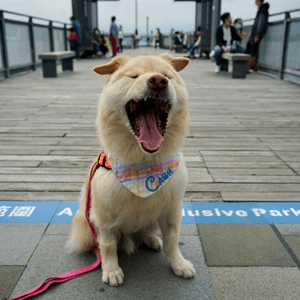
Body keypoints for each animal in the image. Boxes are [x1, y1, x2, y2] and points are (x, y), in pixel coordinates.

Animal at [67, 53, 196, 286]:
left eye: (167, 75)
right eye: (133, 76)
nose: (157, 81)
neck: (143, 164)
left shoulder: (171, 211)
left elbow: (172, 241)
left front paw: (179, 264)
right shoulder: (104, 218)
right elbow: (108, 247)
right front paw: (111, 270)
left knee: (146, 232)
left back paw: (152, 239)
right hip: (85, 221)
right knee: (95, 245)